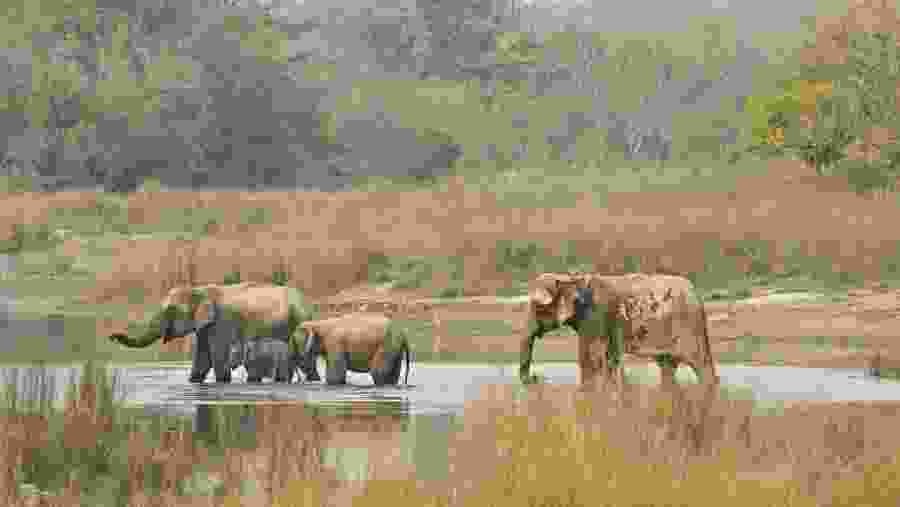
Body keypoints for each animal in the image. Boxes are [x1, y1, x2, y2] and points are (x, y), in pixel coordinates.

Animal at [108, 282, 316, 383]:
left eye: (170, 310)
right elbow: (202, 359)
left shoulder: (221, 323)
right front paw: (193, 381)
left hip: (299, 323)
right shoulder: (204, 326)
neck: (200, 290)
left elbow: (218, 357)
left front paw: (222, 381)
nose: (111, 336)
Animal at [519, 272, 719, 390]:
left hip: (689, 325)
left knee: (700, 364)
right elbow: (607, 358)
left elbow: (590, 357)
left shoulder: (596, 315)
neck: (569, 279)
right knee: (667, 366)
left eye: (537, 307)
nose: (537, 378)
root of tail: (697, 295)